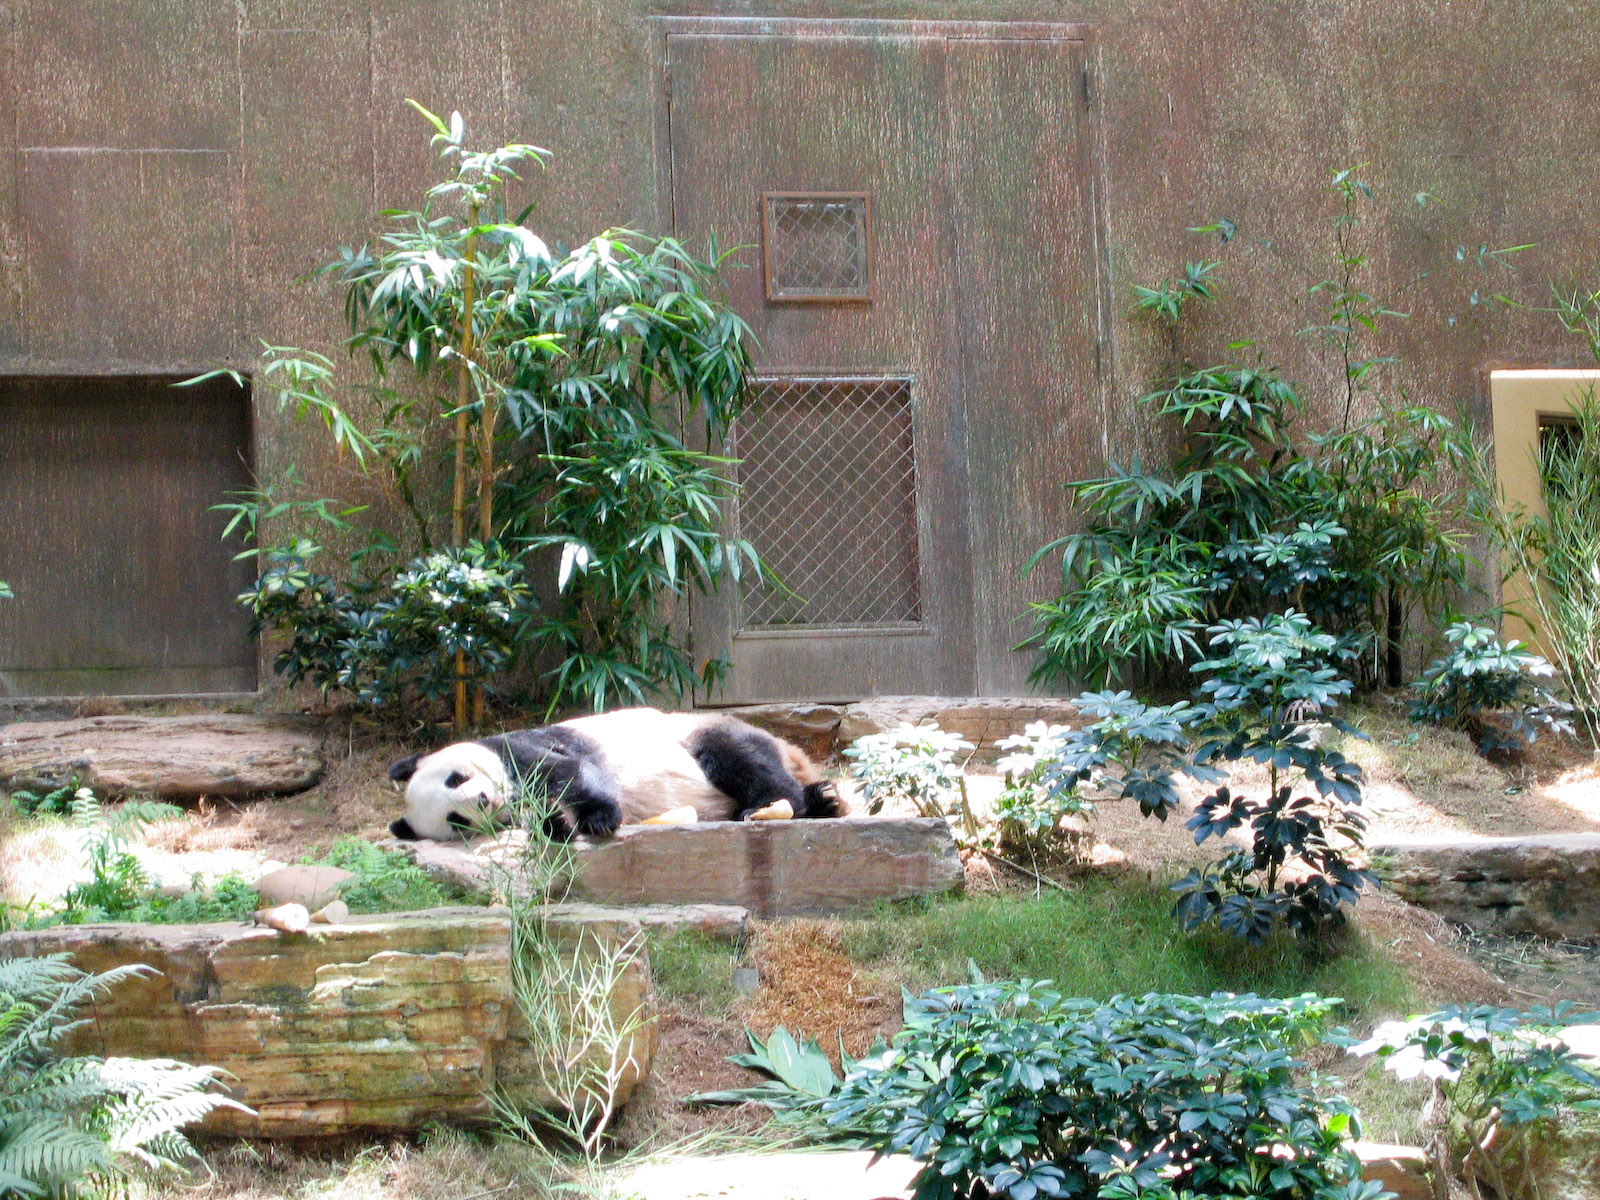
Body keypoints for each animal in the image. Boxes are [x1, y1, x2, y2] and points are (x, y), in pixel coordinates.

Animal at [385, 707, 843, 841]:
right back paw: (823, 799)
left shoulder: (521, 748)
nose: (484, 800)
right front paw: (556, 823)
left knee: (740, 759)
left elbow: (569, 771)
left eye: (455, 779)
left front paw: (598, 820)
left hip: (692, 733)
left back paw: (773, 804)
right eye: (456, 820)